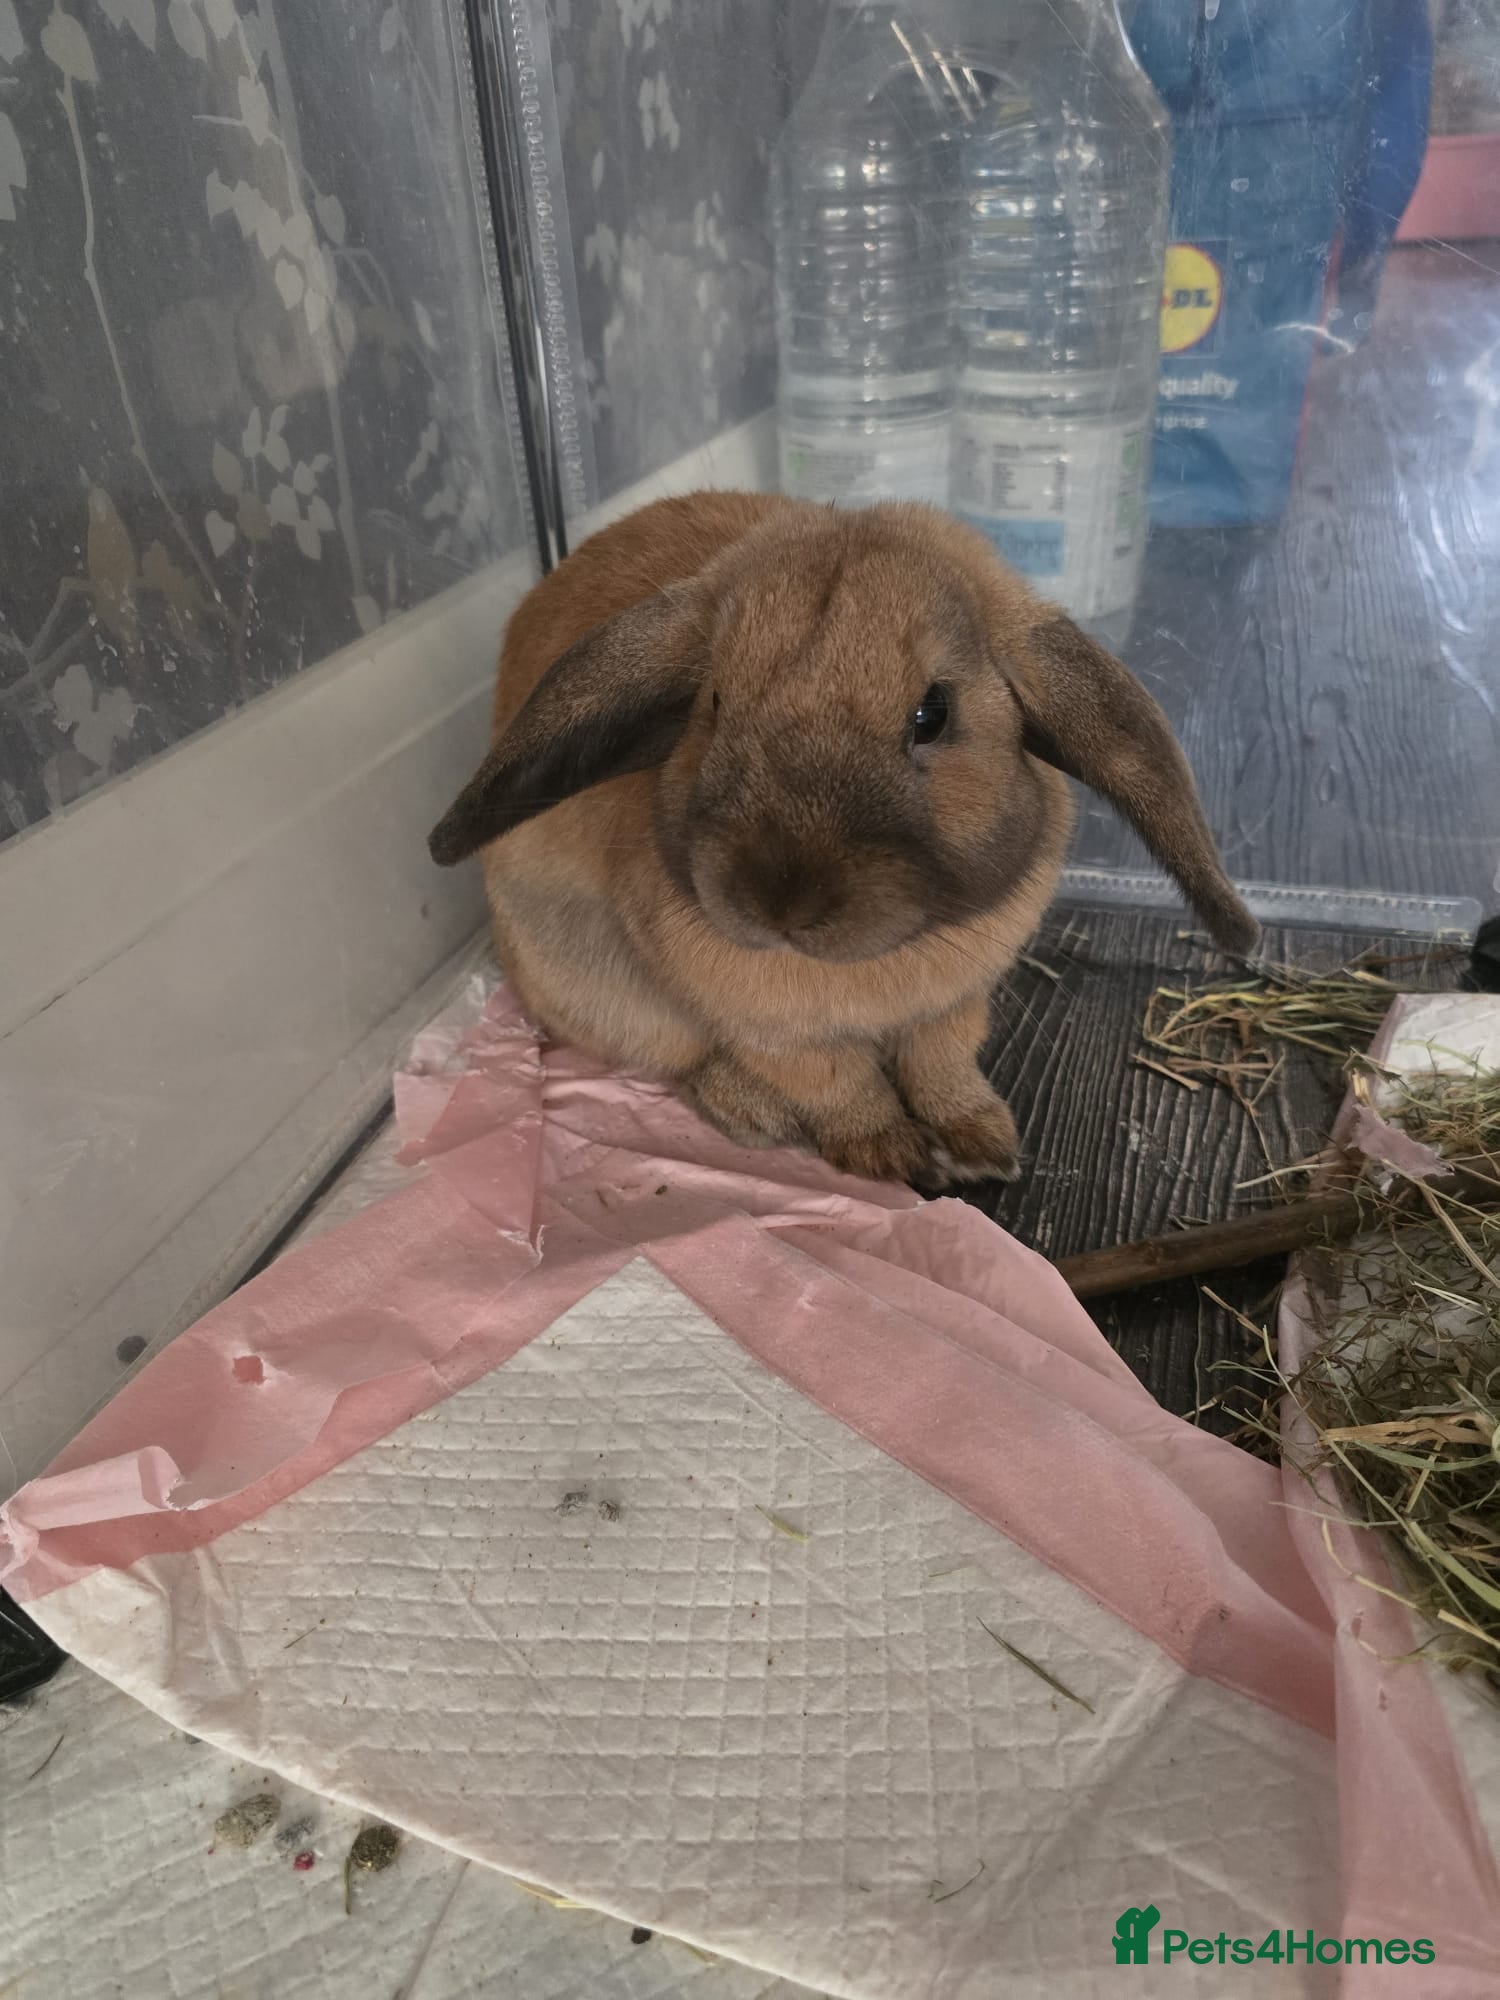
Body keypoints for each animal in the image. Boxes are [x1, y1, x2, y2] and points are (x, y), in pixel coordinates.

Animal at [428, 491, 1256, 1188]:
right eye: (714, 704)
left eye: (934, 714)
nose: (780, 902)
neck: (875, 965)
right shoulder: (776, 1035)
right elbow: (838, 1084)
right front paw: (889, 1156)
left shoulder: (955, 1005)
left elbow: (945, 1066)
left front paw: (986, 1145)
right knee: (686, 1062)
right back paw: (756, 1115)